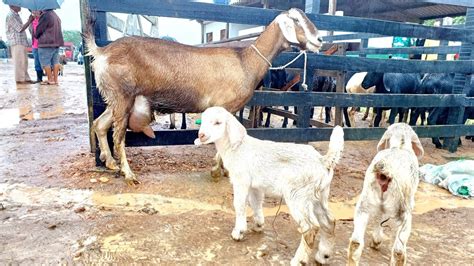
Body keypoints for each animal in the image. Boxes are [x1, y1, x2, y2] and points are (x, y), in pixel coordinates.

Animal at [85, 8, 322, 184]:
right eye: (296, 20)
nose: (319, 40)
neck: (245, 61)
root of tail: (101, 52)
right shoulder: (223, 105)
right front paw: (217, 170)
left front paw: (224, 170)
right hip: (122, 97)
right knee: (118, 136)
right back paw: (128, 174)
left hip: (117, 99)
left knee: (99, 124)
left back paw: (110, 163)